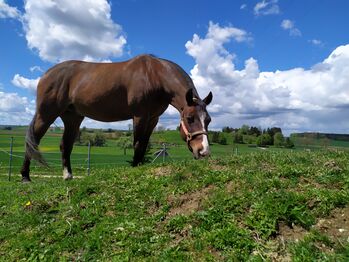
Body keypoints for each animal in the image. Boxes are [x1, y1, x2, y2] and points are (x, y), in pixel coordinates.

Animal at [21, 54, 213, 182]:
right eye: (189, 118)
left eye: (208, 120)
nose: (203, 151)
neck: (154, 75)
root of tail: (46, 75)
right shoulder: (140, 116)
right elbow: (137, 144)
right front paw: (135, 169)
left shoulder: (153, 119)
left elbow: (144, 144)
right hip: (46, 114)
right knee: (33, 142)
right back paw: (25, 177)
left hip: (72, 118)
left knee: (65, 145)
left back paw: (68, 176)